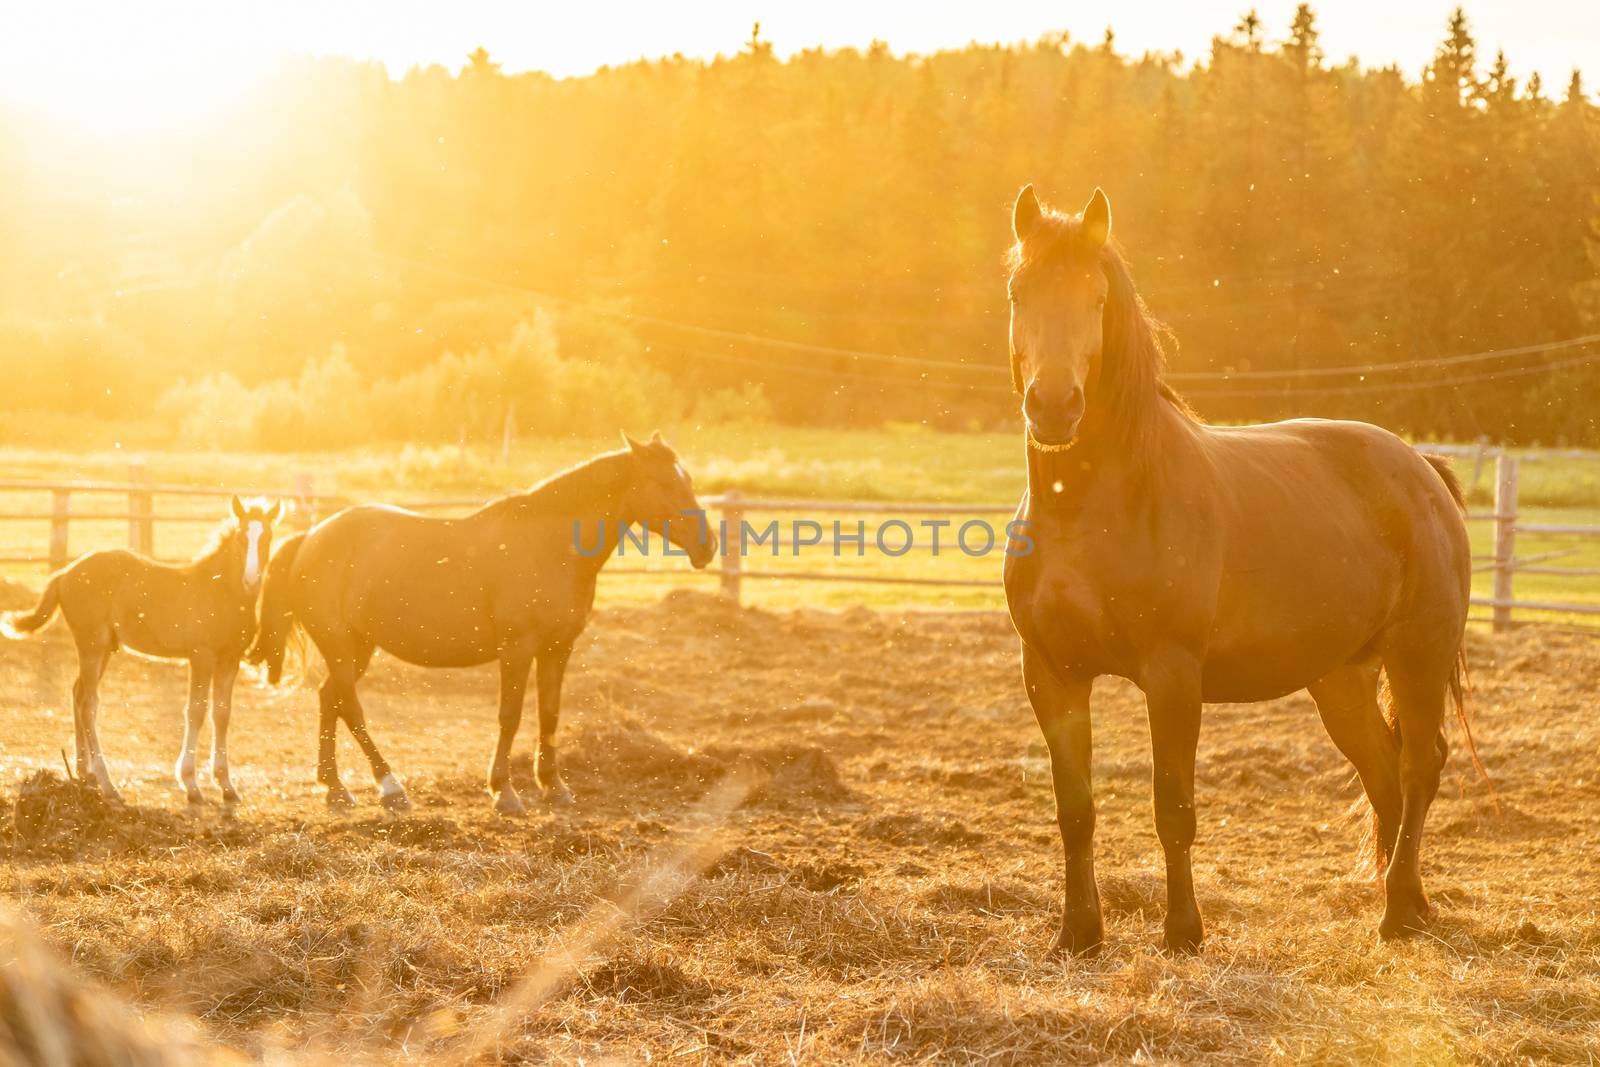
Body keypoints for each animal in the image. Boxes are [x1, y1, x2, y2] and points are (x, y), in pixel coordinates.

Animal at [1, 495, 283, 806]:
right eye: (243, 537)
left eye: (268, 537)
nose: (251, 581)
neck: (222, 592)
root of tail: (64, 573)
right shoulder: (202, 656)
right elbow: (196, 711)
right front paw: (191, 784)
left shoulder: (230, 659)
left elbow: (222, 714)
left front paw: (227, 785)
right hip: (90, 645)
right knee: (88, 704)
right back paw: (108, 784)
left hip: (104, 649)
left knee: (78, 694)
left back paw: (85, 774)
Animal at [248, 428, 713, 812]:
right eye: (664, 483)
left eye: (688, 480)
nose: (707, 547)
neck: (550, 546)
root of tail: (310, 538)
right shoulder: (517, 649)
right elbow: (510, 716)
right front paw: (504, 792)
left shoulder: (558, 648)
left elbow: (550, 713)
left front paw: (554, 786)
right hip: (341, 645)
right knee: (351, 707)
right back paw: (390, 787)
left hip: (359, 646)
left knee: (330, 699)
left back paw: (335, 788)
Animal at [998, 185, 1472, 959]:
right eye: (1019, 292)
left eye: (1097, 297)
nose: (1055, 405)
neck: (1095, 504)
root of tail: (1421, 469)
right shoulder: (1051, 672)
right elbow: (1076, 811)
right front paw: (1077, 935)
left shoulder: (1172, 674)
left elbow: (1174, 807)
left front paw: (1183, 933)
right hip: (1340, 677)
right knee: (1385, 774)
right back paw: (1403, 901)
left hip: (1417, 657)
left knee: (1418, 767)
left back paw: (1399, 912)